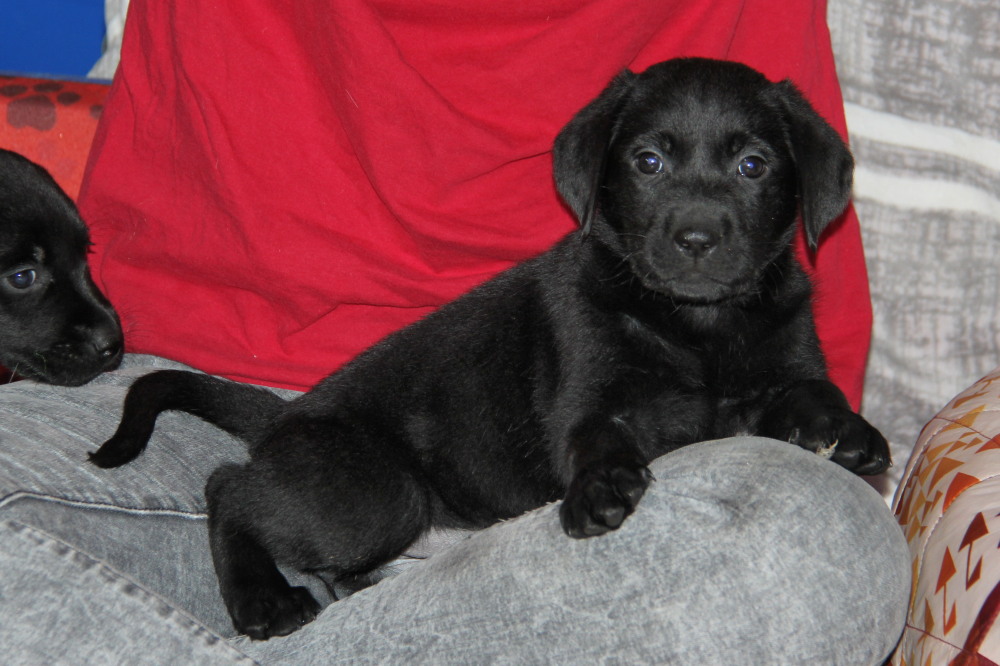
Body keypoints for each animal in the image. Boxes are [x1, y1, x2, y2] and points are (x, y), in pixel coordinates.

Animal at [92, 58, 892, 640]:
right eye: (648, 162)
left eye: (754, 165)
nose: (696, 239)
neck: (697, 326)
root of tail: (287, 417)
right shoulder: (588, 393)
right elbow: (598, 435)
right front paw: (598, 489)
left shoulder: (785, 355)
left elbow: (809, 390)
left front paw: (847, 433)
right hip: (374, 491)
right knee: (228, 487)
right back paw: (263, 598)